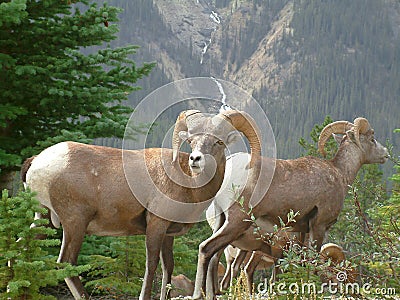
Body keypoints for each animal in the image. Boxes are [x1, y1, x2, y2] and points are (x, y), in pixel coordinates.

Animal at [22, 110, 262, 300]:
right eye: (192, 142)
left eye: (219, 142)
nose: (196, 159)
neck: (188, 184)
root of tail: (37, 161)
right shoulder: (156, 225)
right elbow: (151, 265)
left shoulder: (168, 234)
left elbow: (168, 267)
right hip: (75, 223)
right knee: (67, 262)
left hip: (43, 219)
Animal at [194, 117, 388, 298]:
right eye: (372, 138)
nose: (386, 153)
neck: (339, 173)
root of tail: (229, 166)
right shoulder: (319, 226)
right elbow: (313, 261)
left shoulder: (301, 231)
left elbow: (302, 262)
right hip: (236, 221)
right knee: (206, 249)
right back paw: (199, 294)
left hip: (222, 221)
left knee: (214, 258)